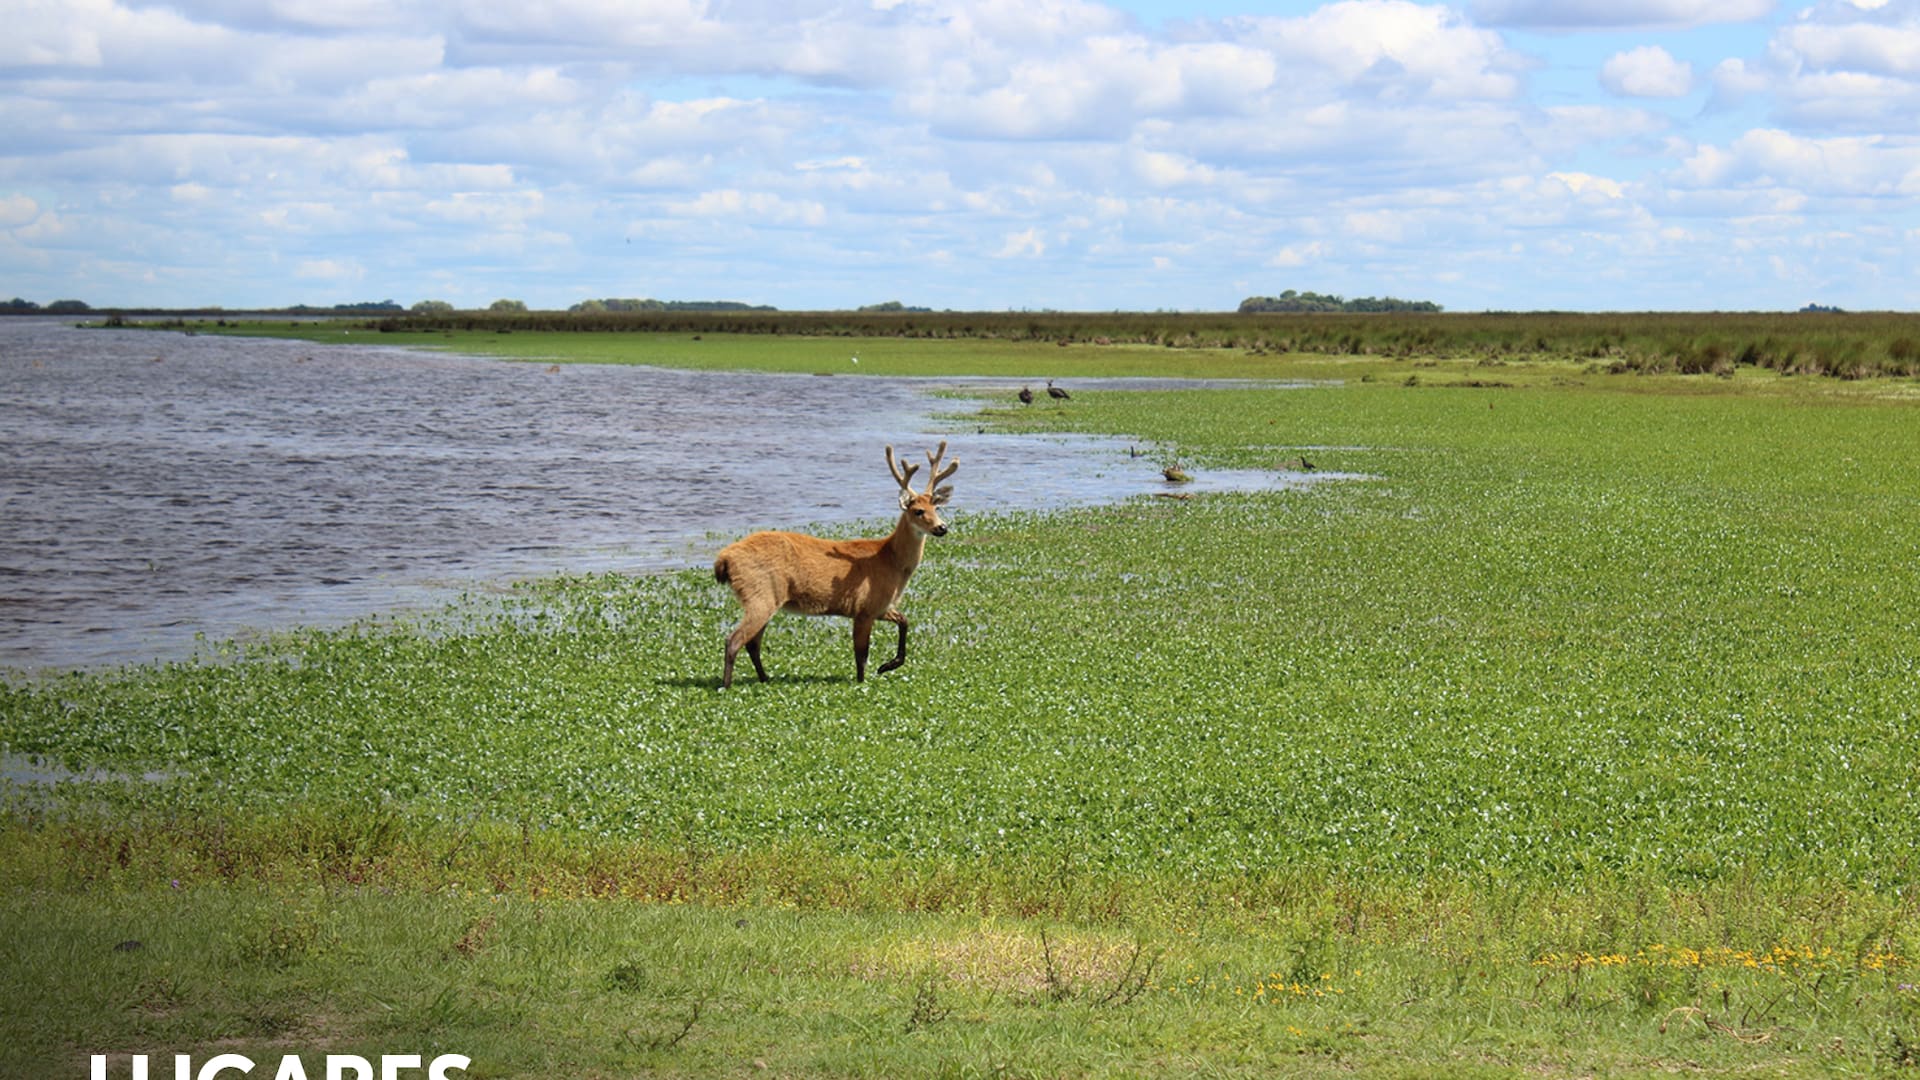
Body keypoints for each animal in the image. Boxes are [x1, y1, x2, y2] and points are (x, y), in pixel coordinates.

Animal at [713, 441, 958, 689]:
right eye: (918, 511)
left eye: (936, 508)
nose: (942, 528)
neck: (891, 562)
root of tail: (724, 559)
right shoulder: (865, 606)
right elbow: (861, 654)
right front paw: (864, 681)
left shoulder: (880, 606)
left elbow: (904, 621)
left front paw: (887, 666)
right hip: (759, 593)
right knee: (734, 639)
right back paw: (726, 685)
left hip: (767, 597)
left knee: (752, 643)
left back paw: (764, 678)